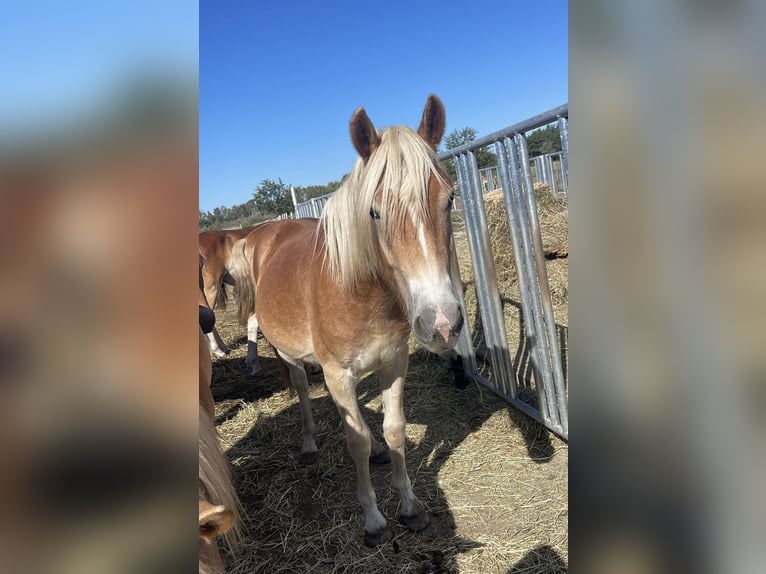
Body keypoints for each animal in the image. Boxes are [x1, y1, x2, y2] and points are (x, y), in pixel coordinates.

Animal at [230, 95, 463, 546]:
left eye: (449, 199)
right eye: (374, 212)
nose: (442, 323)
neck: (361, 292)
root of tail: (264, 232)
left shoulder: (394, 363)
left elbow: (394, 429)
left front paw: (410, 507)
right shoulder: (338, 373)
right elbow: (355, 443)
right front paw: (373, 520)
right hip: (291, 354)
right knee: (304, 389)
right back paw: (308, 445)